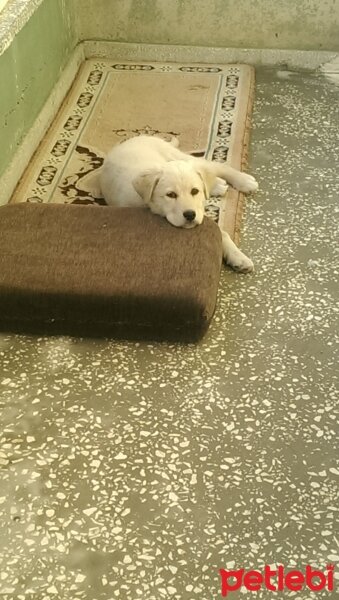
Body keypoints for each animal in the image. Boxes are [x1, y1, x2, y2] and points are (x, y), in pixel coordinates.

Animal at [99, 135, 258, 272]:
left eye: (194, 191)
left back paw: (244, 181)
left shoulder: (200, 211)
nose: (190, 215)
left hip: (180, 157)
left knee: (215, 166)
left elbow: (223, 233)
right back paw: (218, 184)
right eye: (171, 195)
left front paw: (239, 257)